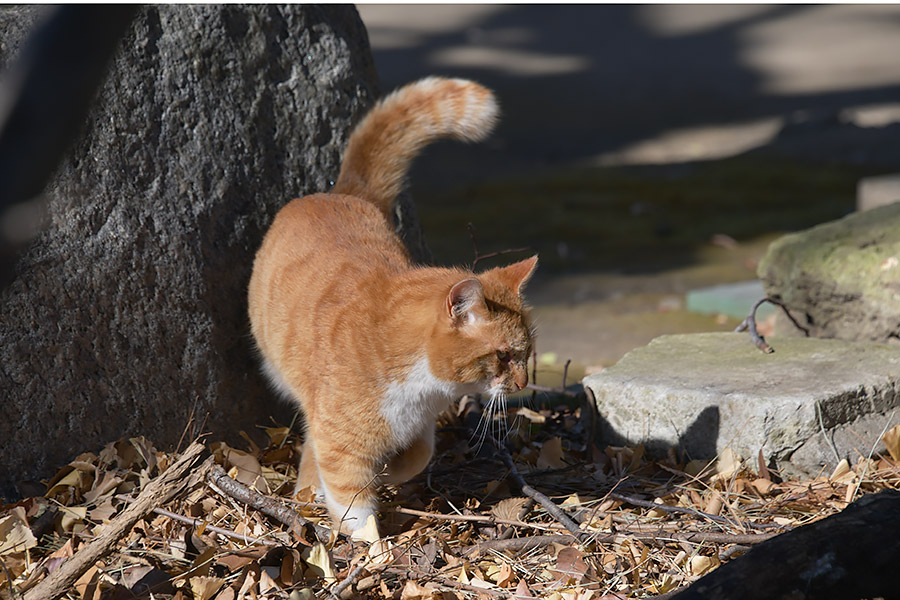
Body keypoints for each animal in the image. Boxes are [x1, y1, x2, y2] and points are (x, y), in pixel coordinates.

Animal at [248, 78, 536, 536]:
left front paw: (390, 471)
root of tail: (344, 193)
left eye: (528, 352)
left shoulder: (418, 429)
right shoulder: (341, 447)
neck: (425, 390)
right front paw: (373, 544)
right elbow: (356, 507)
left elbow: (417, 457)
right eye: (504, 355)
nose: (525, 383)